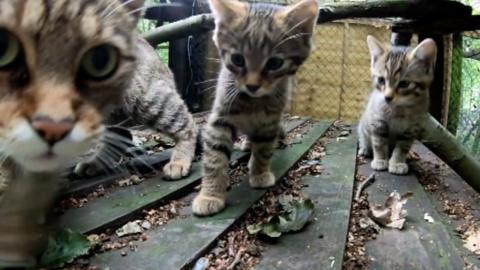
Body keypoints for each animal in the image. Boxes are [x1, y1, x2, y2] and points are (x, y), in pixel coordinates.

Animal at [191, 0, 318, 216]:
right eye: (237, 59)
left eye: (275, 63)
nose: (252, 86)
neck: (252, 101)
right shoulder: (221, 117)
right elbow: (214, 157)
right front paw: (210, 194)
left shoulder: (269, 121)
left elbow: (264, 149)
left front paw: (259, 173)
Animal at [358, 35, 436, 175]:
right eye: (381, 80)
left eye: (404, 84)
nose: (387, 97)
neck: (398, 109)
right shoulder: (378, 121)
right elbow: (379, 143)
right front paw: (380, 160)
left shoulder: (411, 128)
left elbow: (402, 147)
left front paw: (397, 162)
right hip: (364, 127)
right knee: (364, 138)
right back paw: (365, 149)